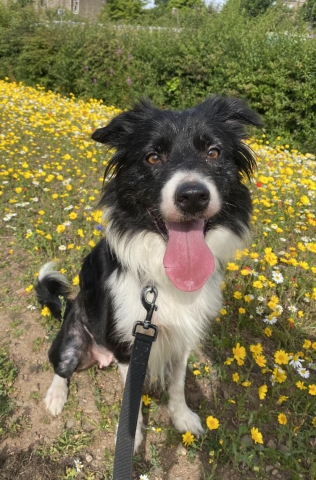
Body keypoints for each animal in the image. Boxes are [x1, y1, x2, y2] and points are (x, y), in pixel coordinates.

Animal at [35, 97, 260, 450]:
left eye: (214, 152)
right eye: (153, 157)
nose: (192, 196)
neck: (165, 277)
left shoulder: (183, 336)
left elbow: (178, 382)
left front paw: (182, 417)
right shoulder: (129, 345)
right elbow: (132, 399)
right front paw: (131, 436)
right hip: (72, 338)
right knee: (60, 366)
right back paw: (56, 396)